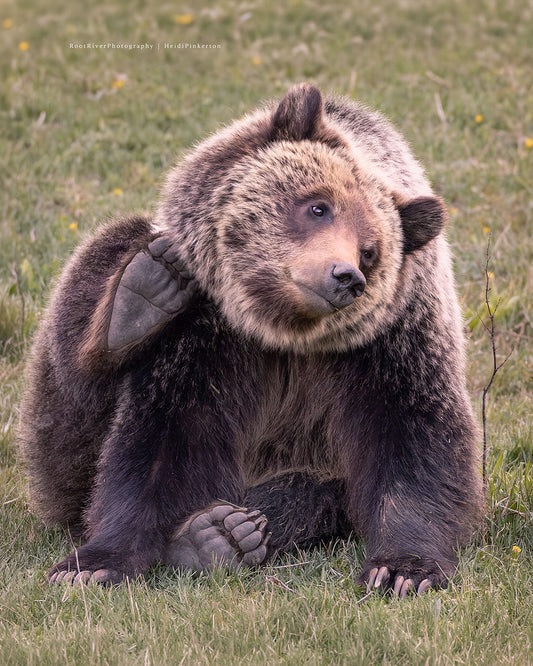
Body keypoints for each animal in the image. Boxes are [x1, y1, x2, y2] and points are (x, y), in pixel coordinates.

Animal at [18, 83, 484, 596]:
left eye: (370, 250)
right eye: (318, 206)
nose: (345, 276)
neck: (277, 330)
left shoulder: (392, 340)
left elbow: (415, 436)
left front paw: (402, 569)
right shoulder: (207, 328)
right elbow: (161, 436)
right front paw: (95, 562)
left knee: (311, 493)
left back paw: (224, 532)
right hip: (60, 435)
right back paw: (136, 300)